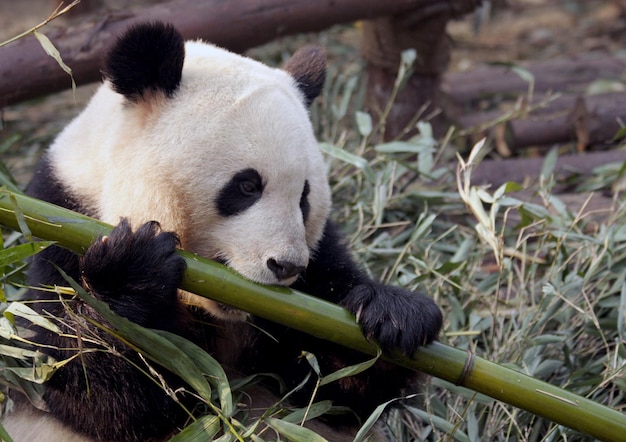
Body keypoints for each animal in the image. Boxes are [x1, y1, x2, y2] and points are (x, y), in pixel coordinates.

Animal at [4, 22, 444, 442]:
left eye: (303, 197)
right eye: (247, 186)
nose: (286, 266)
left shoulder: (318, 266)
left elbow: (332, 391)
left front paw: (395, 315)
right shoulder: (61, 224)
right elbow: (98, 392)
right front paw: (130, 274)